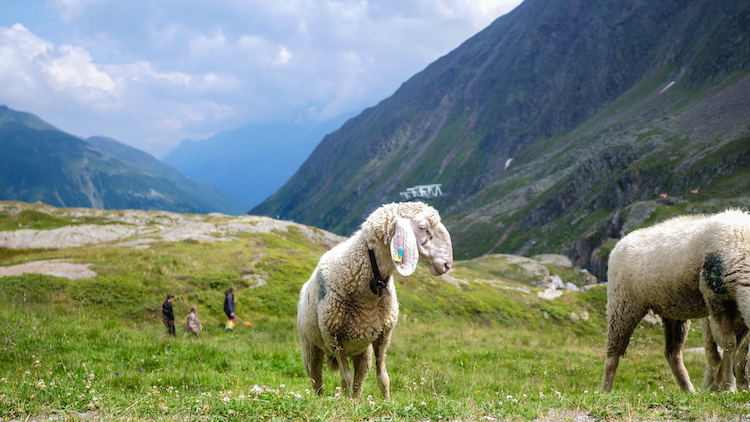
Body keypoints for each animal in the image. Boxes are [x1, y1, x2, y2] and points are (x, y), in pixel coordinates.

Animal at [298, 201, 452, 398]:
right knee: (316, 380)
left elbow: (383, 377)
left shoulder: (383, 336)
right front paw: (344, 404)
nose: (447, 264)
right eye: (422, 227)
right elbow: (345, 378)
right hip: (311, 347)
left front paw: (387, 402)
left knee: (359, 379)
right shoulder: (335, 337)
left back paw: (356, 401)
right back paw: (321, 400)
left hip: (362, 352)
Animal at [604, 209, 750, 392]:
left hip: (674, 310)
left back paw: (689, 390)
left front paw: (719, 385)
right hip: (622, 304)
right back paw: (606, 390)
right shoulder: (717, 300)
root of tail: (620, 243)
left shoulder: (739, 311)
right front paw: (729, 386)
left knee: (672, 353)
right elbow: (729, 344)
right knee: (613, 352)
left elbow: (735, 346)